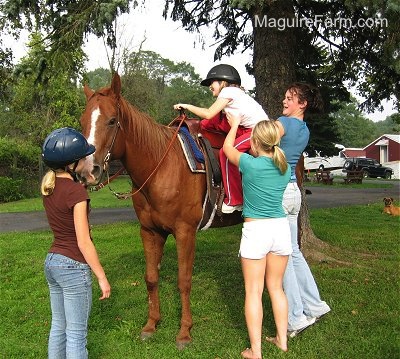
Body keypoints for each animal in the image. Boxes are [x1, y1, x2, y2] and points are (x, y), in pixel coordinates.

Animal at [76, 72, 242, 348]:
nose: (86, 171)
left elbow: (184, 281)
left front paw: (184, 332)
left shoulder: (185, 232)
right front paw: (151, 324)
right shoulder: (150, 231)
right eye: (82, 121)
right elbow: (151, 278)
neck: (161, 167)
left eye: (112, 121)